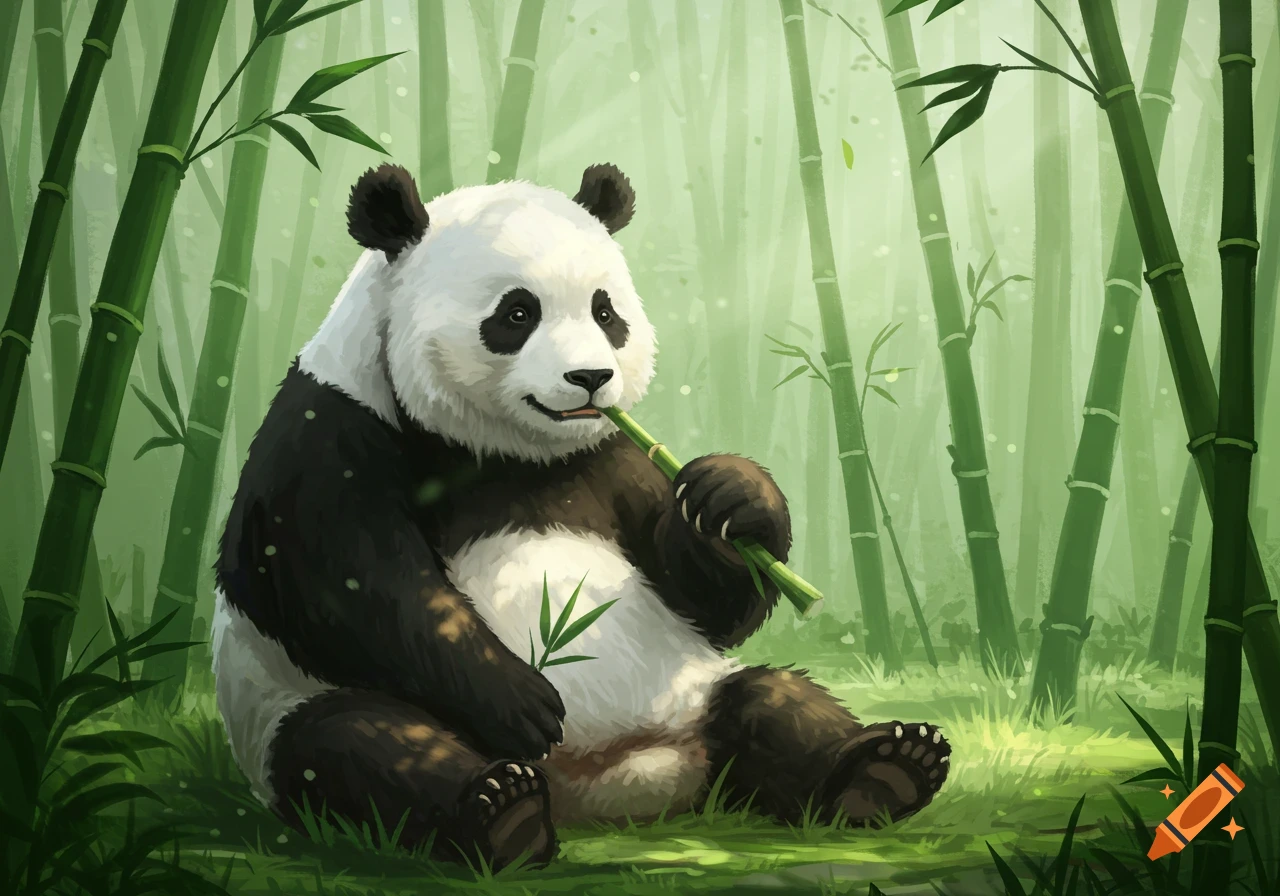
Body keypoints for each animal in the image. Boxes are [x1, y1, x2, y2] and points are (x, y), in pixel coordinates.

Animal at [211, 162, 951, 870]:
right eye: (516, 313)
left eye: (605, 311)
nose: (592, 378)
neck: (505, 451)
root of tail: (605, 790)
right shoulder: (331, 429)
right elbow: (346, 582)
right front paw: (523, 701)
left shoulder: (615, 455)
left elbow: (707, 600)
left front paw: (732, 497)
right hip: (288, 706)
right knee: (360, 746)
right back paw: (500, 812)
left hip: (691, 693)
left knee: (768, 700)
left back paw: (884, 770)